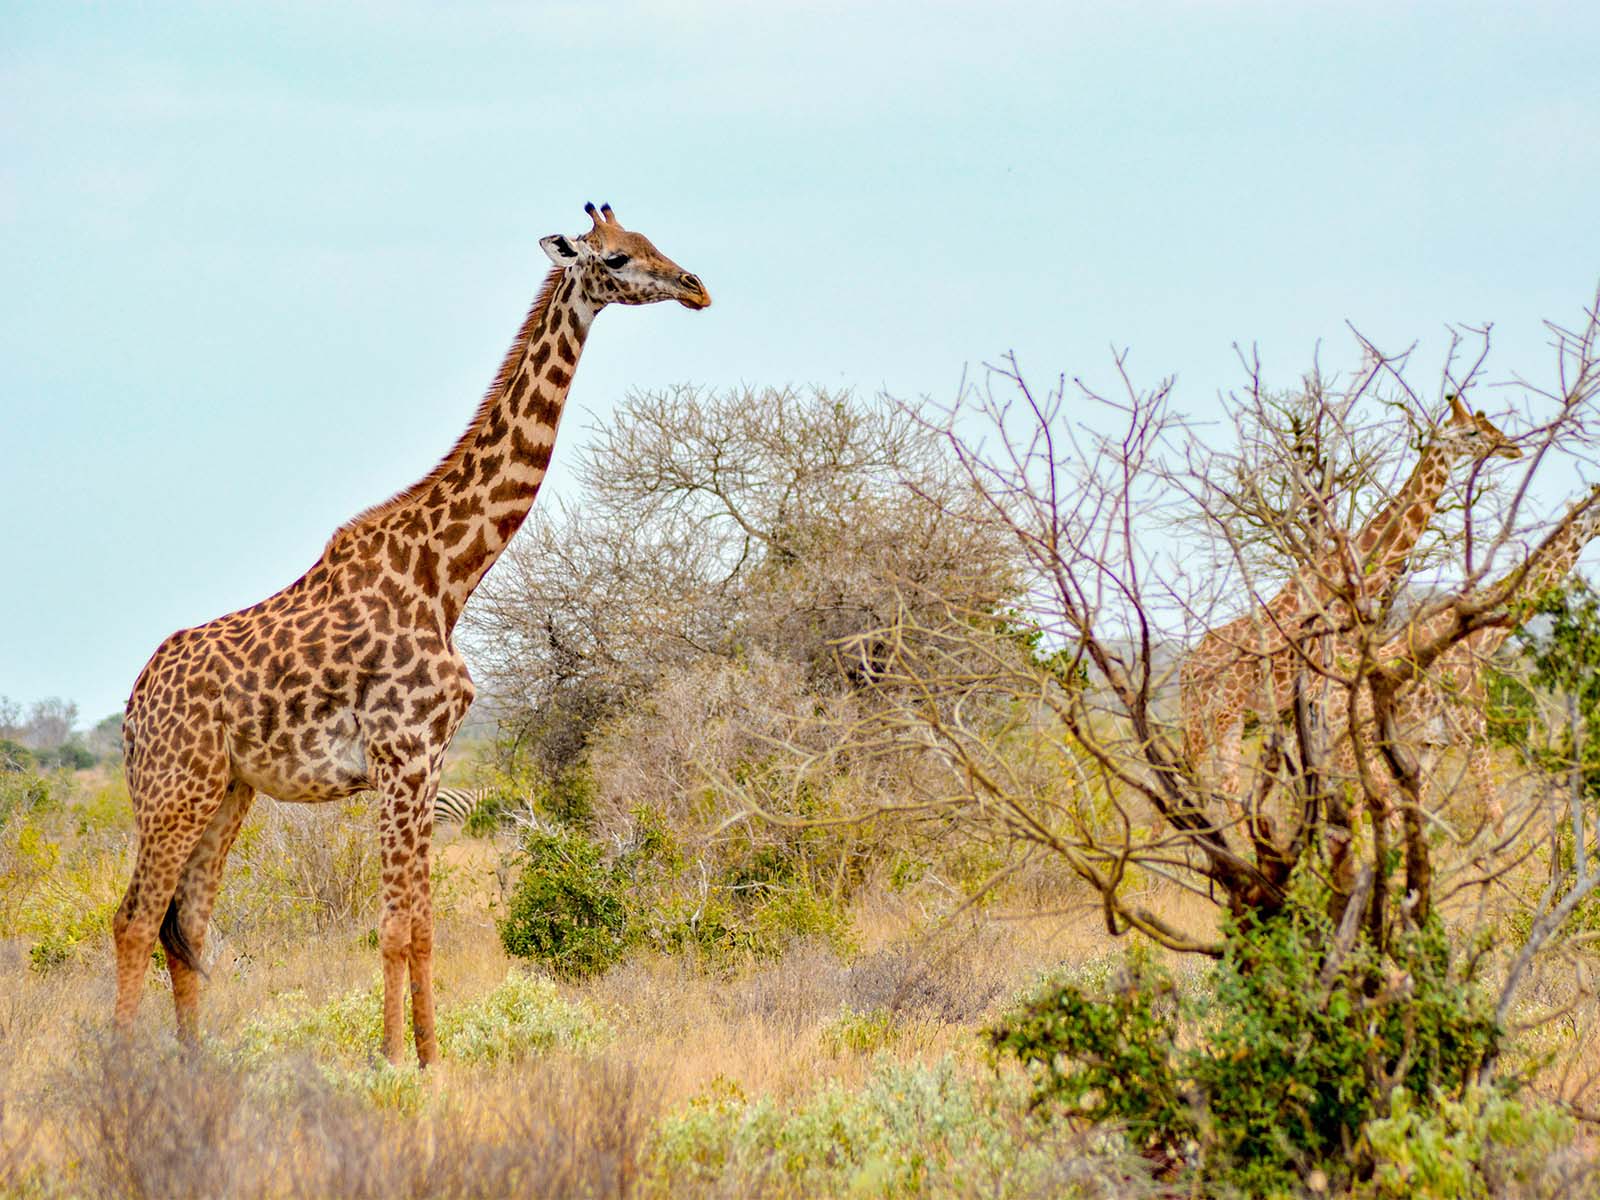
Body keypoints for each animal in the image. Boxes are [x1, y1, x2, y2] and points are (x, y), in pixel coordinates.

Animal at [116, 202, 710, 1068]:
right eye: (617, 258)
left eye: (651, 241)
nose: (696, 286)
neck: (447, 575)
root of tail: (132, 705)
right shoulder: (401, 755)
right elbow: (395, 927)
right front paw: (394, 1062)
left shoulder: (430, 763)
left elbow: (425, 926)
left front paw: (433, 1060)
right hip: (174, 787)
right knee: (133, 921)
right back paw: (119, 1065)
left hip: (227, 790)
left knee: (184, 925)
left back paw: (193, 1069)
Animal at [1184, 400, 1516, 803]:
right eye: (1472, 431)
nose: (1512, 446)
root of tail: (1187, 669)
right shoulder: (1323, 692)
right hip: (1213, 714)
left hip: (1228, 717)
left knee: (1222, 782)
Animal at [1324, 489, 1600, 825]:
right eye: (1595, 513)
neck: (1479, 639)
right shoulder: (1473, 729)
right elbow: (1494, 812)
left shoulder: (1433, 742)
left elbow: (1421, 805)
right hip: (1357, 741)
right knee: (1365, 800)